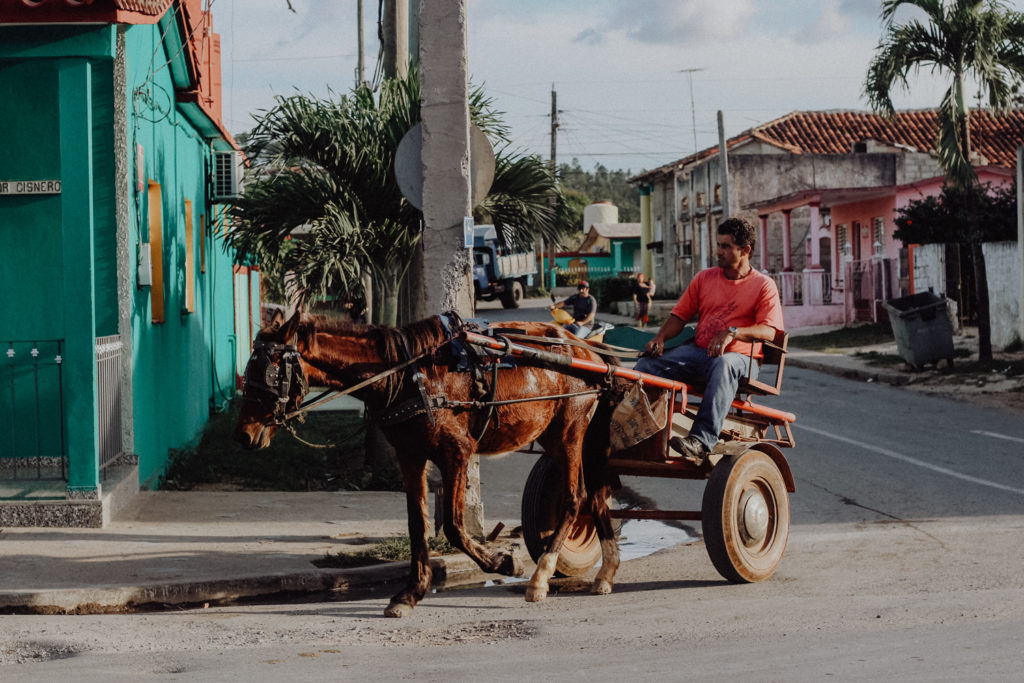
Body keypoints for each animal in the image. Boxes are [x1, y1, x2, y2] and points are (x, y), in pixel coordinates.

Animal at [235, 313, 618, 618]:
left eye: (268, 371)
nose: (244, 434)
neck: (407, 375)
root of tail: (587, 350)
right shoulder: (410, 456)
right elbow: (417, 526)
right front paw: (410, 593)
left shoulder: (458, 452)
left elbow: (453, 526)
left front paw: (502, 561)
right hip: (572, 440)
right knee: (596, 497)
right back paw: (606, 571)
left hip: (568, 433)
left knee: (575, 498)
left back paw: (540, 577)